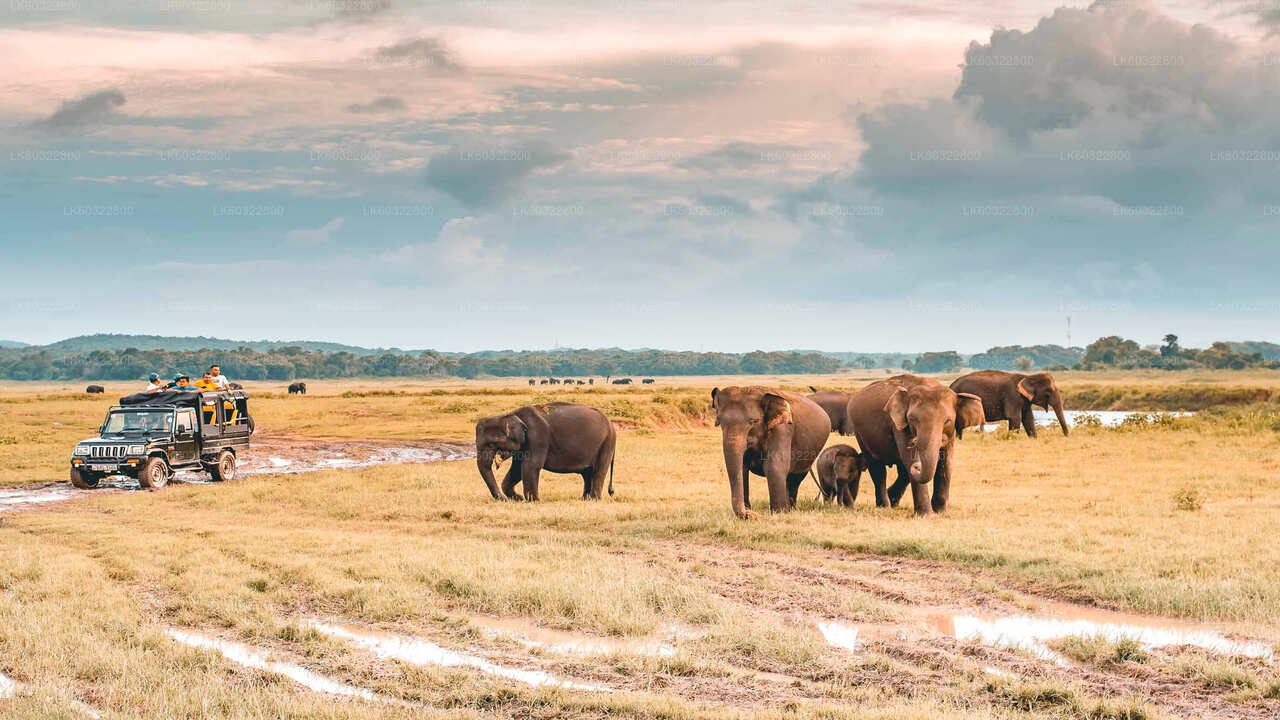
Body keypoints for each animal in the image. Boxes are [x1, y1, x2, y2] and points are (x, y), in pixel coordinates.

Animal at [476, 404, 614, 499]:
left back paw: (594, 499)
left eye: (491, 444)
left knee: (598, 472)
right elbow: (516, 469)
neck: (512, 415)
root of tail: (611, 424)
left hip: (606, 443)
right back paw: (584, 499)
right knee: (587, 474)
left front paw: (533, 500)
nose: (503, 499)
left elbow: (530, 466)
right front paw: (519, 499)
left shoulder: (537, 437)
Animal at [711, 384, 829, 517]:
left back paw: (790, 509)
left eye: (753, 421)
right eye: (720, 422)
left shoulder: (783, 429)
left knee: (795, 478)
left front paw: (778, 513)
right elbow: (742, 468)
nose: (751, 515)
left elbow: (774, 466)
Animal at [844, 371, 983, 512]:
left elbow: (946, 462)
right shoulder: (898, 425)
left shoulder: (951, 432)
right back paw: (885, 506)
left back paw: (892, 501)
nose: (918, 466)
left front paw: (940, 512)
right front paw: (927, 514)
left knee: (902, 472)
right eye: (911, 419)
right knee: (878, 469)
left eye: (947, 420)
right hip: (859, 433)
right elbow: (908, 456)